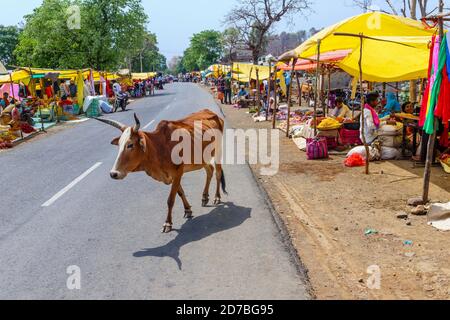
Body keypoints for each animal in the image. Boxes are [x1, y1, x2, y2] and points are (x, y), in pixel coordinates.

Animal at [96, 109, 227, 232]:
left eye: (130, 145)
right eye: (119, 145)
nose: (113, 173)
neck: (159, 148)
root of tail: (210, 112)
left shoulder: (178, 172)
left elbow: (171, 199)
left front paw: (168, 223)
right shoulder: (173, 175)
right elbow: (180, 193)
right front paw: (187, 210)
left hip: (218, 151)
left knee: (218, 173)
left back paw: (216, 197)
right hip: (202, 159)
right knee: (209, 170)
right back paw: (205, 197)